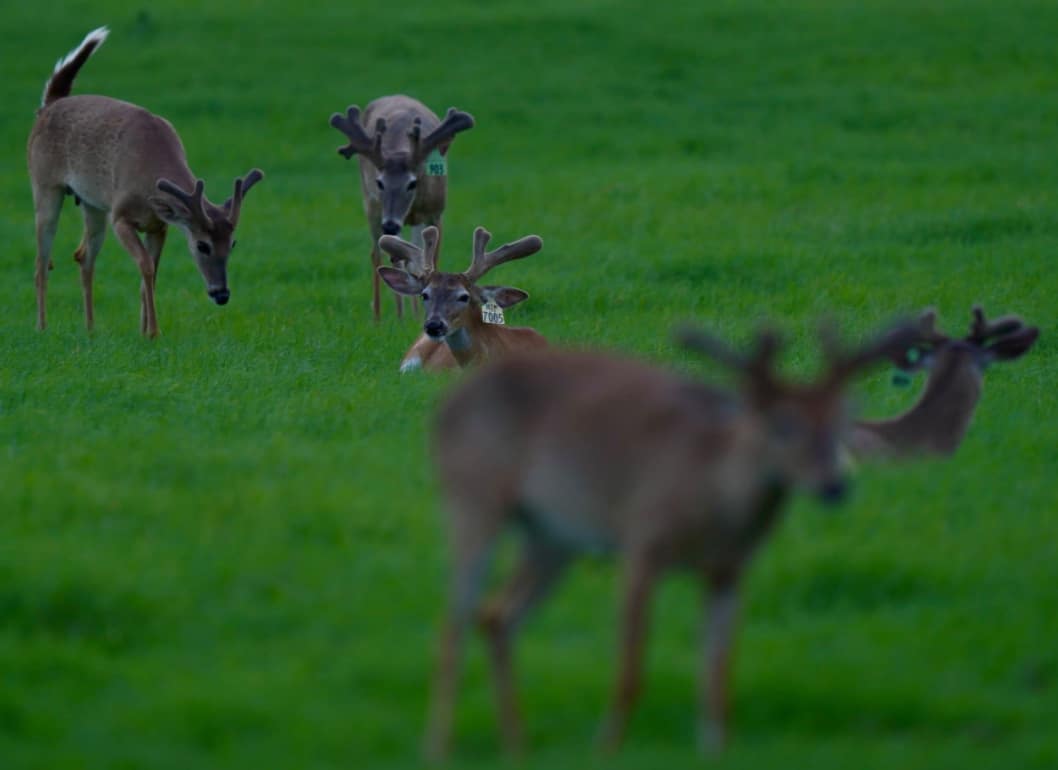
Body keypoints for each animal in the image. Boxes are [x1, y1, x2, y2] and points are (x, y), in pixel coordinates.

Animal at [27, 27, 264, 338]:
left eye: (233, 243)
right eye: (202, 245)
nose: (221, 294)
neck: (149, 173)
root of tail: (48, 105)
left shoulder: (159, 225)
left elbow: (151, 272)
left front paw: (143, 331)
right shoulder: (120, 216)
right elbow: (146, 267)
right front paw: (153, 331)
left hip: (92, 203)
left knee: (83, 256)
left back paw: (90, 328)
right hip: (45, 185)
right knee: (42, 262)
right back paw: (42, 327)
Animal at [329, 96, 474, 321]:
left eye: (412, 183)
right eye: (379, 182)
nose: (389, 224)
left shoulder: (436, 212)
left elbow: (428, 259)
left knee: (409, 256)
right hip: (371, 205)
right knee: (378, 255)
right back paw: (383, 317)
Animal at [424, 318, 919, 759]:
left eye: (841, 421)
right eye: (782, 424)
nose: (835, 486)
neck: (710, 496)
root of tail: (447, 408)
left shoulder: (729, 571)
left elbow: (717, 676)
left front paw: (715, 750)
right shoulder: (642, 542)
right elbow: (631, 669)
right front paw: (606, 750)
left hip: (552, 535)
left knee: (497, 616)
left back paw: (517, 746)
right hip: (474, 498)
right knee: (454, 620)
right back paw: (439, 749)